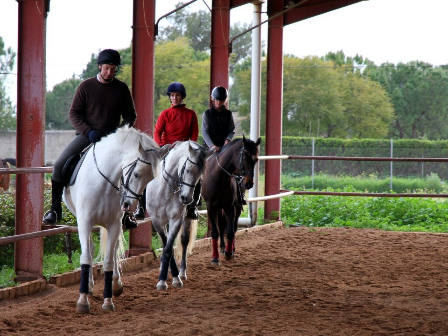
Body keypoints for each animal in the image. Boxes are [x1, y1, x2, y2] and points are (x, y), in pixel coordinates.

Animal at [62, 126, 169, 312]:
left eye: (150, 179)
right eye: (136, 174)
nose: (129, 205)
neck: (104, 181)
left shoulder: (114, 224)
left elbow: (108, 261)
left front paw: (108, 300)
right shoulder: (84, 223)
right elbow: (86, 257)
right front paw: (83, 301)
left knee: (113, 251)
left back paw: (115, 285)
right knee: (90, 249)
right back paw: (89, 287)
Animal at [145, 140, 212, 290]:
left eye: (200, 176)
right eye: (187, 170)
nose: (186, 198)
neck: (165, 188)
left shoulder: (176, 220)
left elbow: (168, 249)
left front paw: (171, 279)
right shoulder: (157, 221)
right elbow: (166, 246)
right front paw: (164, 277)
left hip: (186, 218)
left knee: (184, 241)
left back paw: (181, 272)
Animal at [201, 136, 260, 266]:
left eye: (256, 159)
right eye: (245, 157)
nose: (248, 183)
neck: (219, 177)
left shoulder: (230, 206)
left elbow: (230, 231)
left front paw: (229, 253)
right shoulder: (211, 207)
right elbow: (215, 232)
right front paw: (215, 258)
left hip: (235, 206)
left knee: (233, 226)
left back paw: (230, 249)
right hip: (219, 208)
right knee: (221, 225)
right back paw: (222, 247)